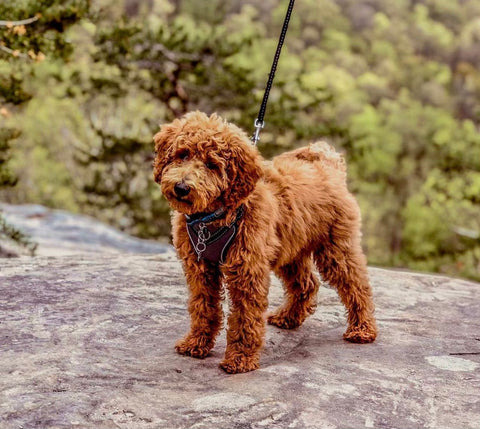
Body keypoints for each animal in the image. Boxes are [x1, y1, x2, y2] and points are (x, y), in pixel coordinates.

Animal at [152, 112, 376, 372]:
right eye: (183, 154)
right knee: (307, 284)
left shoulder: (247, 270)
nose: (181, 188)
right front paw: (196, 342)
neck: (213, 217)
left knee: (357, 285)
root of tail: (328, 167)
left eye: (211, 165)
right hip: (291, 250)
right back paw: (288, 317)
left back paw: (362, 329)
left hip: (335, 248)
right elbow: (203, 307)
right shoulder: (200, 269)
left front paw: (240, 358)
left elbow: (245, 317)